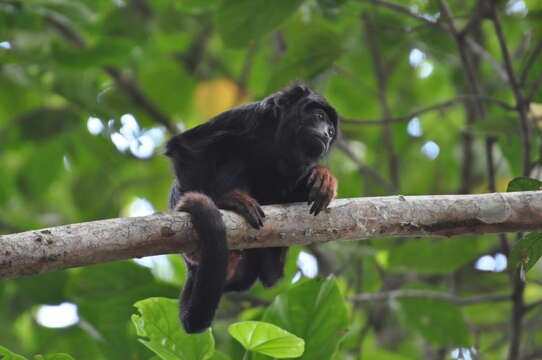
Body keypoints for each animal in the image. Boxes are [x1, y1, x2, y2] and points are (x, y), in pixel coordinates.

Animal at [166, 83, 340, 334]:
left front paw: (323, 176)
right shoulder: (247, 118)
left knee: (271, 275)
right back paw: (230, 201)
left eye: (332, 131)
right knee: (231, 154)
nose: (327, 134)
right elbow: (184, 149)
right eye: (318, 117)